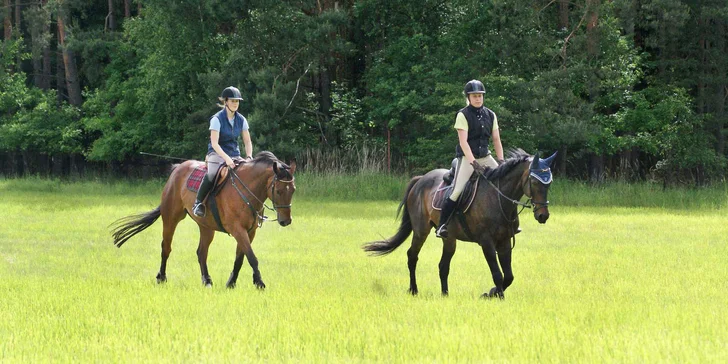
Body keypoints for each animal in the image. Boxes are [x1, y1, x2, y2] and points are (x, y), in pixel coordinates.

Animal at [111, 151, 292, 290]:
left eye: (293, 190)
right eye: (279, 190)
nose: (286, 221)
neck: (245, 189)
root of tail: (177, 169)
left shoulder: (250, 231)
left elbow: (241, 258)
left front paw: (231, 283)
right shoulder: (237, 230)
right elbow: (251, 256)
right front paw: (260, 283)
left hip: (206, 227)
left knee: (201, 252)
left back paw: (207, 281)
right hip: (171, 219)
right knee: (166, 248)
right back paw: (161, 277)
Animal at [362, 149, 556, 300]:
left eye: (549, 183)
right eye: (534, 181)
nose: (543, 215)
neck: (498, 198)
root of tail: (421, 179)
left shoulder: (504, 241)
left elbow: (508, 276)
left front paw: (491, 293)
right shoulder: (486, 242)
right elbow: (497, 273)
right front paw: (497, 296)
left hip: (449, 238)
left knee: (443, 266)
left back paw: (445, 294)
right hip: (421, 231)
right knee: (412, 256)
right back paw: (414, 290)